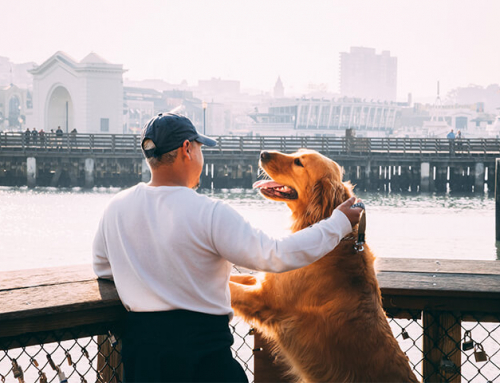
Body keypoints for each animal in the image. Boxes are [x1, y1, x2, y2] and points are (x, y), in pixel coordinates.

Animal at [230, 151, 418, 383]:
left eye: (298, 162)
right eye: (296, 153)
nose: (262, 153)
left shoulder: (264, 299)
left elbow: (230, 289)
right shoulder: (263, 281)